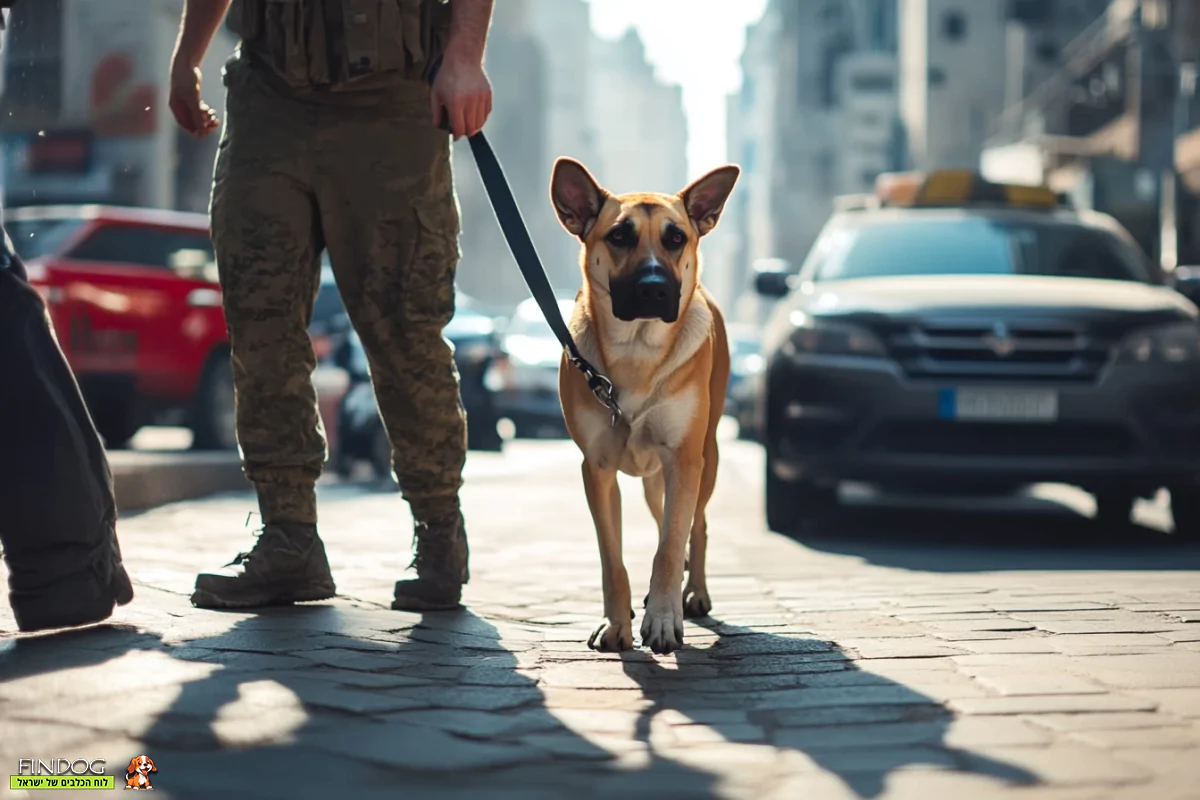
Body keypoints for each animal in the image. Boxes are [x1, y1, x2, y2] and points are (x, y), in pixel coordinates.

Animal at [552, 158, 739, 657]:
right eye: (619, 235)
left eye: (676, 238)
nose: (655, 287)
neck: (637, 351)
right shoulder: (596, 468)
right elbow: (612, 557)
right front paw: (616, 623)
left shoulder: (683, 459)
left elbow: (671, 546)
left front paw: (663, 619)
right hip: (655, 481)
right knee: (662, 520)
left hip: (704, 460)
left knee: (696, 526)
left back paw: (692, 593)